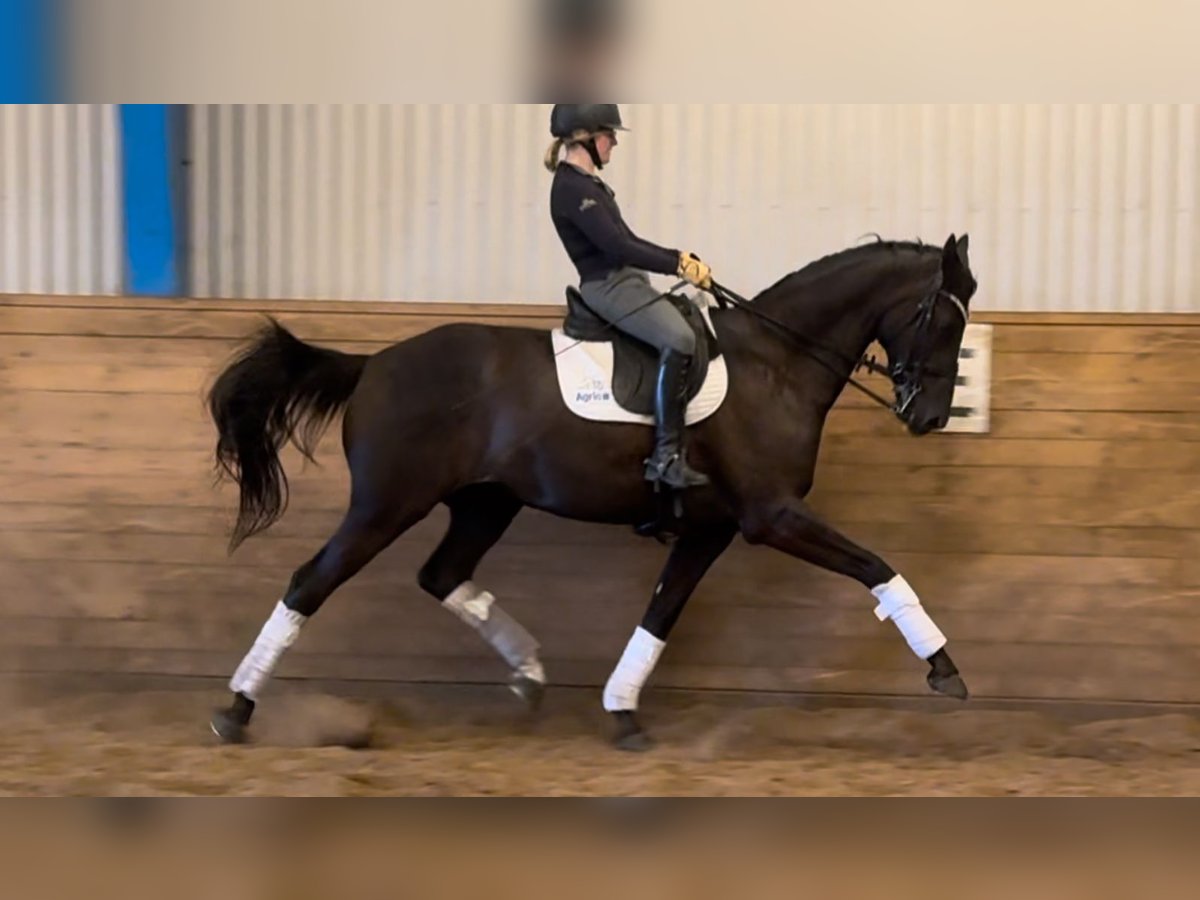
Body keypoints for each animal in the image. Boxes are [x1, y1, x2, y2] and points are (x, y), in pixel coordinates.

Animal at [204, 234, 974, 753]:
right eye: (945, 319)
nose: (930, 418)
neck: (775, 365)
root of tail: (372, 365)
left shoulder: (713, 528)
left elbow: (660, 615)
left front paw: (623, 711)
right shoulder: (772, 516)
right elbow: (878, 569)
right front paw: (945, 670)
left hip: (486, 502)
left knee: (442, 573)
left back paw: (528, 672)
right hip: (386, 505)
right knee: (310, 583)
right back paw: (234, 710)